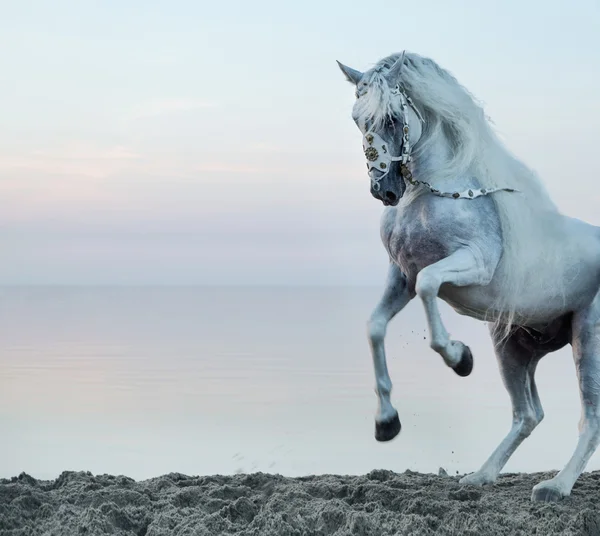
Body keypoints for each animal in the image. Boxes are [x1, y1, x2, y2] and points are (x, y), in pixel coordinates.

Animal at [338, 51, 600, 502]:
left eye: (392, 118)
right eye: (357, 118)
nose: (384, 191)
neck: (430, 194)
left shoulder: (470, 262)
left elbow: (429, 286)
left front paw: (458, 358)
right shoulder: (400, 276)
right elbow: (374, 326)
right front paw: (386, 422)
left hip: (588, 338)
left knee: (590, 417)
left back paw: (555, 487)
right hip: (513, 347)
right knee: (528, 414)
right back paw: (481, 476)